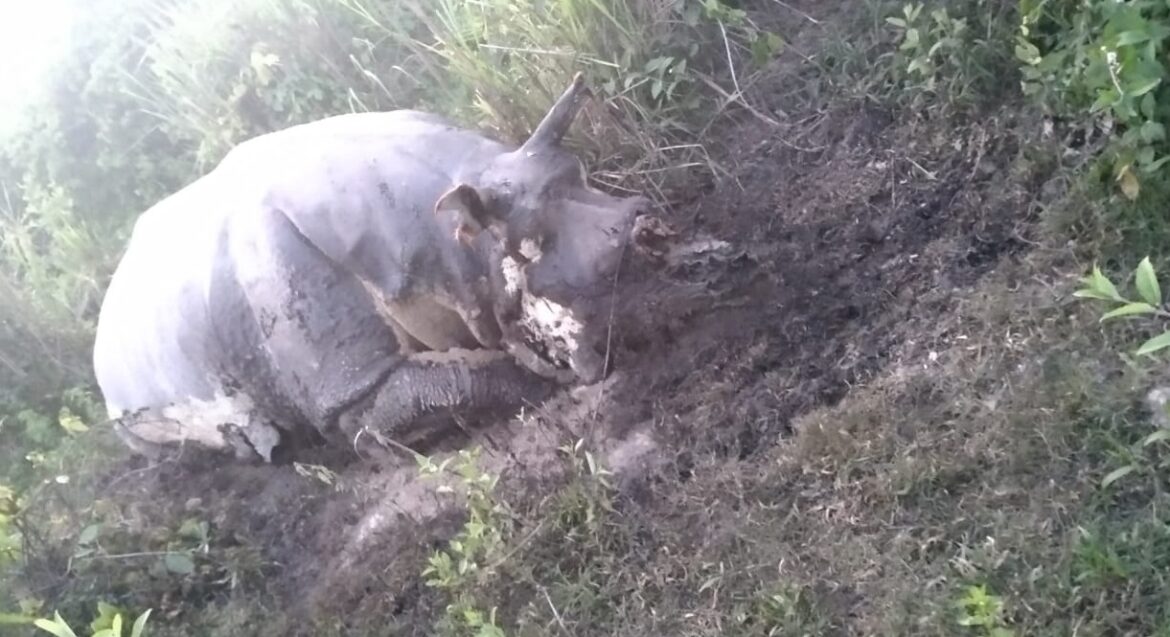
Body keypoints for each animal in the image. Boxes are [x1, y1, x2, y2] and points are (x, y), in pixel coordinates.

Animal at [92, 74, 660, 462]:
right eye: (524, 253)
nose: (650, 240)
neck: (457, 245)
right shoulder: (350, 390)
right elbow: (448, 384)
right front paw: (541, 380)